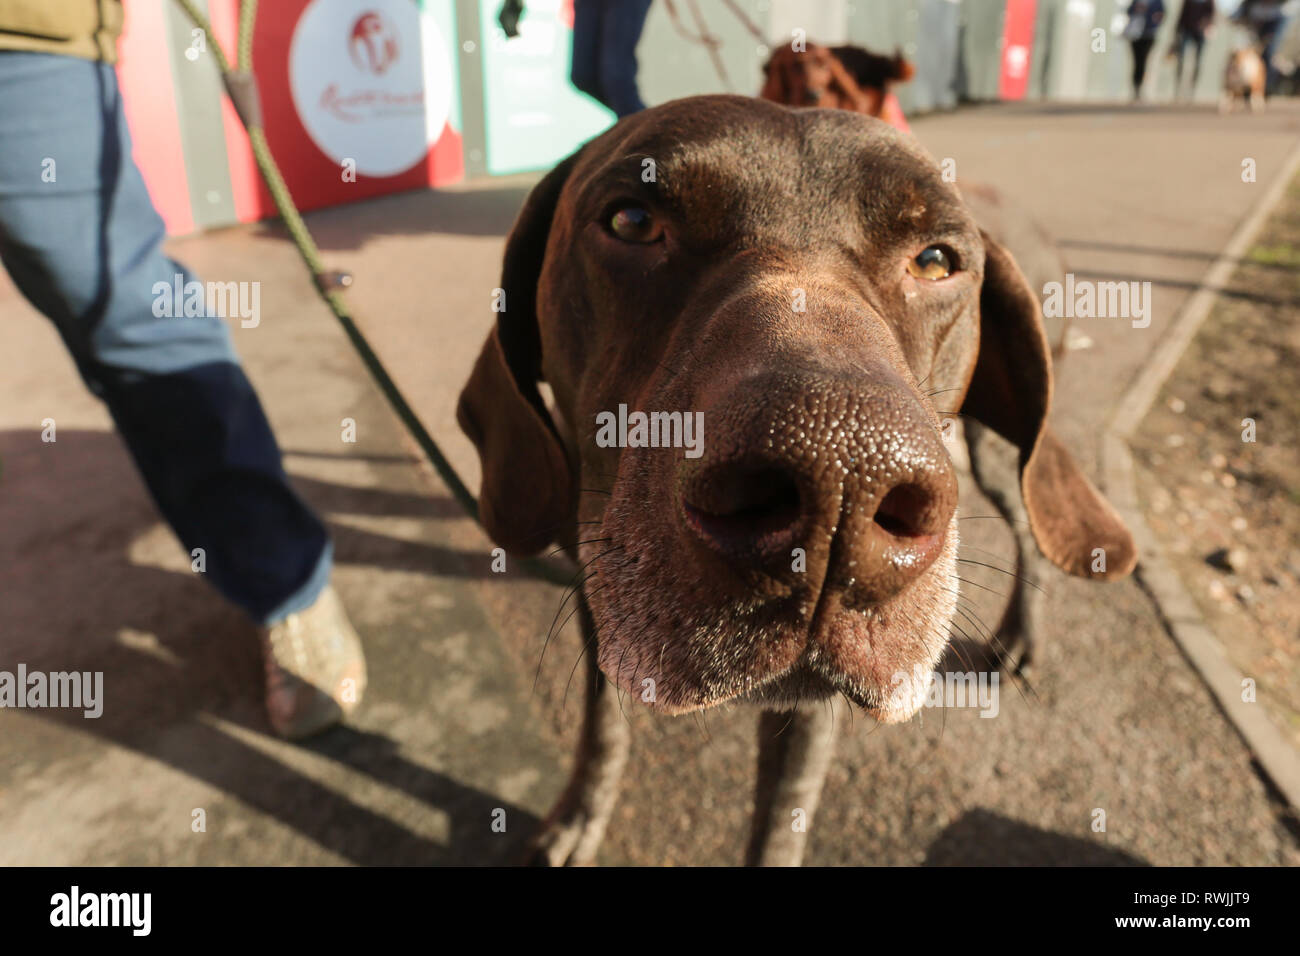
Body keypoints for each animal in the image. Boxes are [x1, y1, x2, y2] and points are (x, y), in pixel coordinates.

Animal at [460, 95, 1138, 868]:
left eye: (937, 261)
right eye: (631, 221)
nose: (843, 482)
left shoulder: (805, 710)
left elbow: (778, 823)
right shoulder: (598, 595)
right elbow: (602, 730)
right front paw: (579, 816)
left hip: (997, 449)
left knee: (1031, 523)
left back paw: (1022, 635)